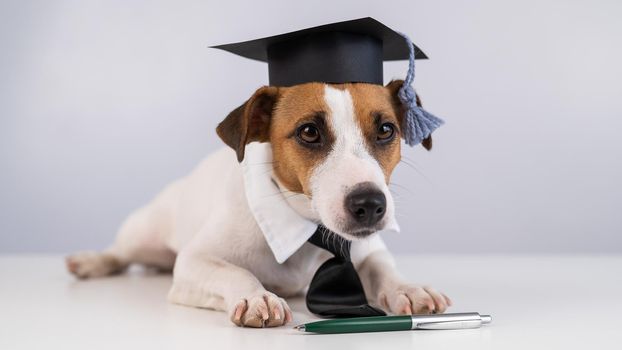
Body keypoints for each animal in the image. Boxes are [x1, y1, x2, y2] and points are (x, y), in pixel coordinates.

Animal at [66, 80, 450, 326]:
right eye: (309, 132)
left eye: (386, 130)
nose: (369, 204)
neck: (308, 227)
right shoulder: (194, 262)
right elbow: (234, 270)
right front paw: (256, 296)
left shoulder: (368, 249)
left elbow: (382, 267)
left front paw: (408, 288)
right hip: (143, 234)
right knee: (120, 252)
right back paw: (91, 261)